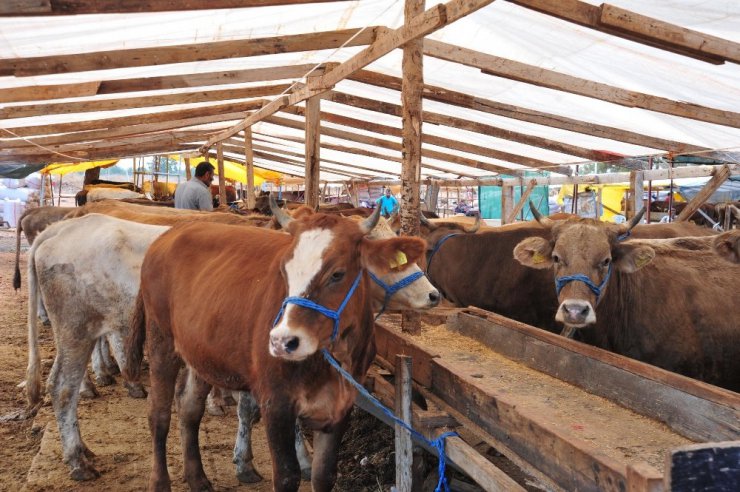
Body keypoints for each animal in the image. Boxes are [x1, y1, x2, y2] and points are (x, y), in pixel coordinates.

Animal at [125, 201, 428, 492]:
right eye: (284, 271)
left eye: (337, 274)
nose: (282, 340)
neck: (330, 361)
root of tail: (170, 234)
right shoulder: (276, 403)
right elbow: (286, 476)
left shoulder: (341, 405)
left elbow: (324, 475)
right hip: (160, 339)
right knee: (159, 413)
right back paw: (160, 482)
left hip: (201, 352)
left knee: (189, 407)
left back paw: (197, 478)